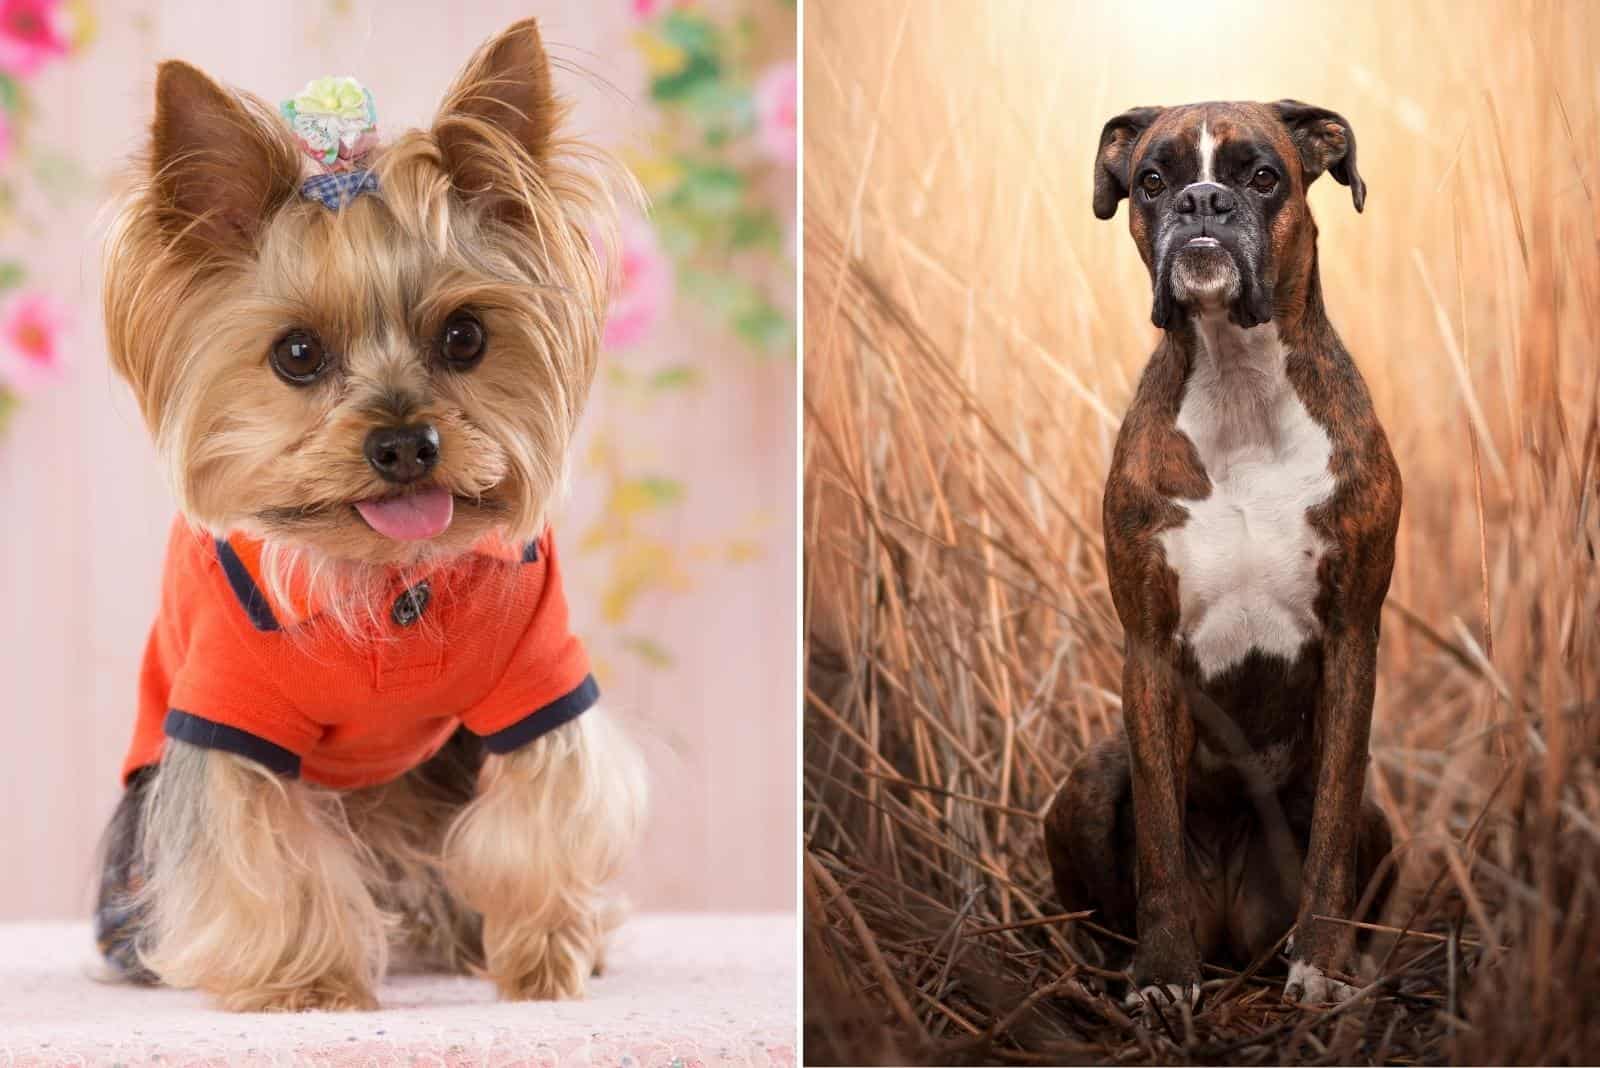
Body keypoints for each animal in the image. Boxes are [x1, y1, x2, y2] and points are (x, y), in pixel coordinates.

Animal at [1043, 99, 1395, 1010]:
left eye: (1263, 176)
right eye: (1151, 180)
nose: (1202, 202)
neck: (1240, 386)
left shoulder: (1353, 636)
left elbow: (1333, 824)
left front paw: (1323, 961)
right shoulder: (1148, 649)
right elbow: (1161, 839)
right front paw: (1163, 971)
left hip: (1381, 822)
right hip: (1088, 778)